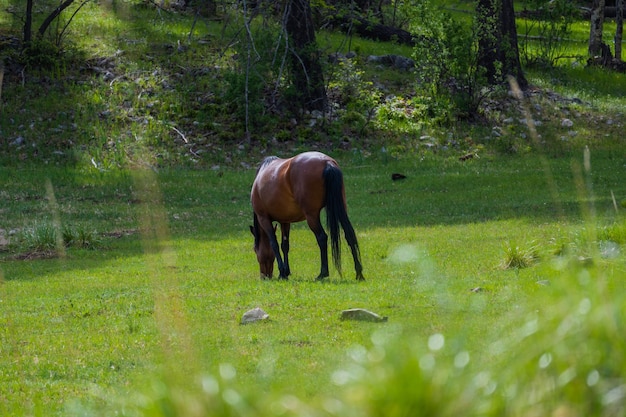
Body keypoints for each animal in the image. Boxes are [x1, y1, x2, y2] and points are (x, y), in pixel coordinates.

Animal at [250, 151, 366, 282]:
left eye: (255, 249)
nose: (264, 276)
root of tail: (327, 162)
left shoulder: (264, 218)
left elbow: (274, 244)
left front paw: (282, 272)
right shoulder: (285, 221)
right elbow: (285, 245)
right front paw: (286, 272)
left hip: (311, 216)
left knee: (322, 238)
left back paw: (322, 273)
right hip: (340, 208)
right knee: (349, 235)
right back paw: (359, 273)